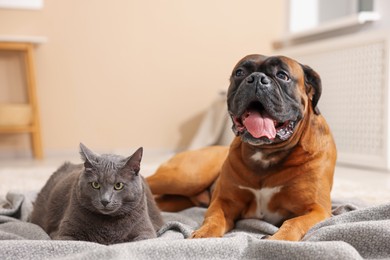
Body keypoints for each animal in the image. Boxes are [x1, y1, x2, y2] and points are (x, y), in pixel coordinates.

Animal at [29, 143, 164, 245]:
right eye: (95, 184)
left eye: (118, 185)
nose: (105, 200)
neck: (108, 224)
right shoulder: (63, 234)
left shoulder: (146, 231)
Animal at [146, 53, 336, 241]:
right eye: (240, 72)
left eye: (282, 75)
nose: (257, 78)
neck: (266, 153)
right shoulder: (224, 202)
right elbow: (214, 219)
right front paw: (204, 234)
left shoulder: (317, 209)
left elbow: (294, 223)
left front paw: (278, 239)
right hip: (186, 177)